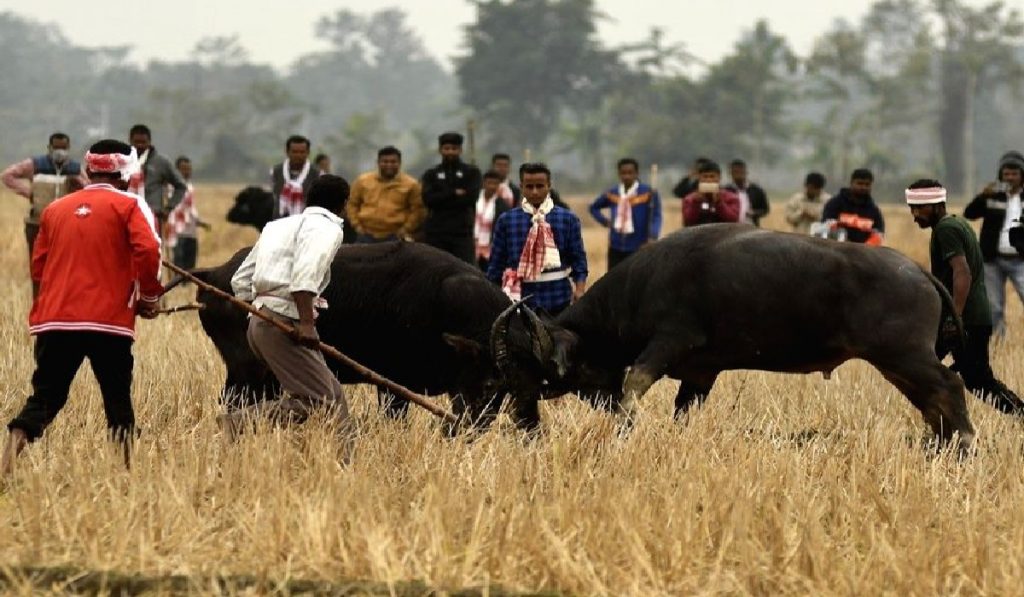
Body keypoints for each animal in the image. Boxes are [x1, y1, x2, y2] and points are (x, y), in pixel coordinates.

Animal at [191, 240, 512, 428]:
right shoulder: (393, 384)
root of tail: (215, 275)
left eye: (504, 387)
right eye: (489, 385)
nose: (473, 427)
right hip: (249, 371)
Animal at [499, 226, 978, 450]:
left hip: (905, 357)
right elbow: (683, 411)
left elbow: (635, 382)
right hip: (899, 365)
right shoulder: (701, 374)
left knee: (950, 386)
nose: (528, 401)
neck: (642, 284)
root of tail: (919, 273)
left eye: (547, 368)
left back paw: (965, 444)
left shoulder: (670, 342)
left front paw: (625, 426)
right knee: (933, 401)